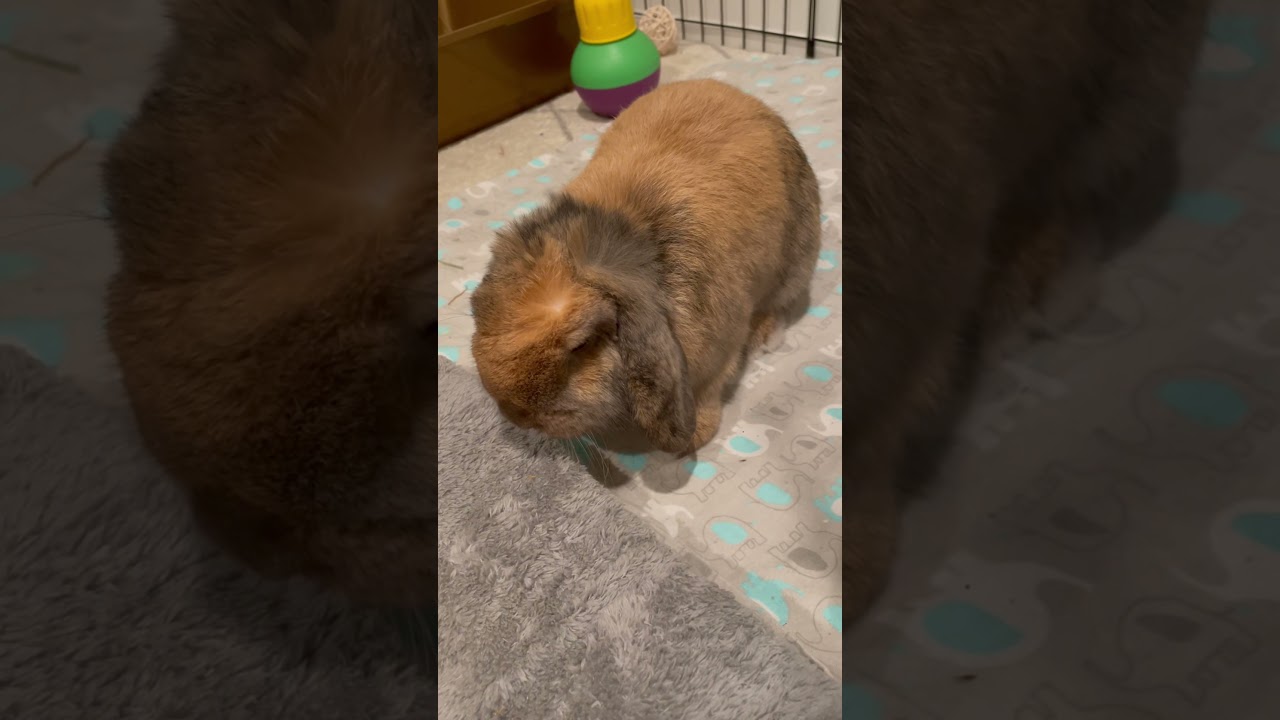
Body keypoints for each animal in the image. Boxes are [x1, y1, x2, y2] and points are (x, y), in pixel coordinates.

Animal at [469, 80, 822, 456]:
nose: (518, 415)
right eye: (477, 310)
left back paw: (765, 336)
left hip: (796, 262)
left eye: (581, 345)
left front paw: (696, 438)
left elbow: (710, 390)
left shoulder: (719, 355)